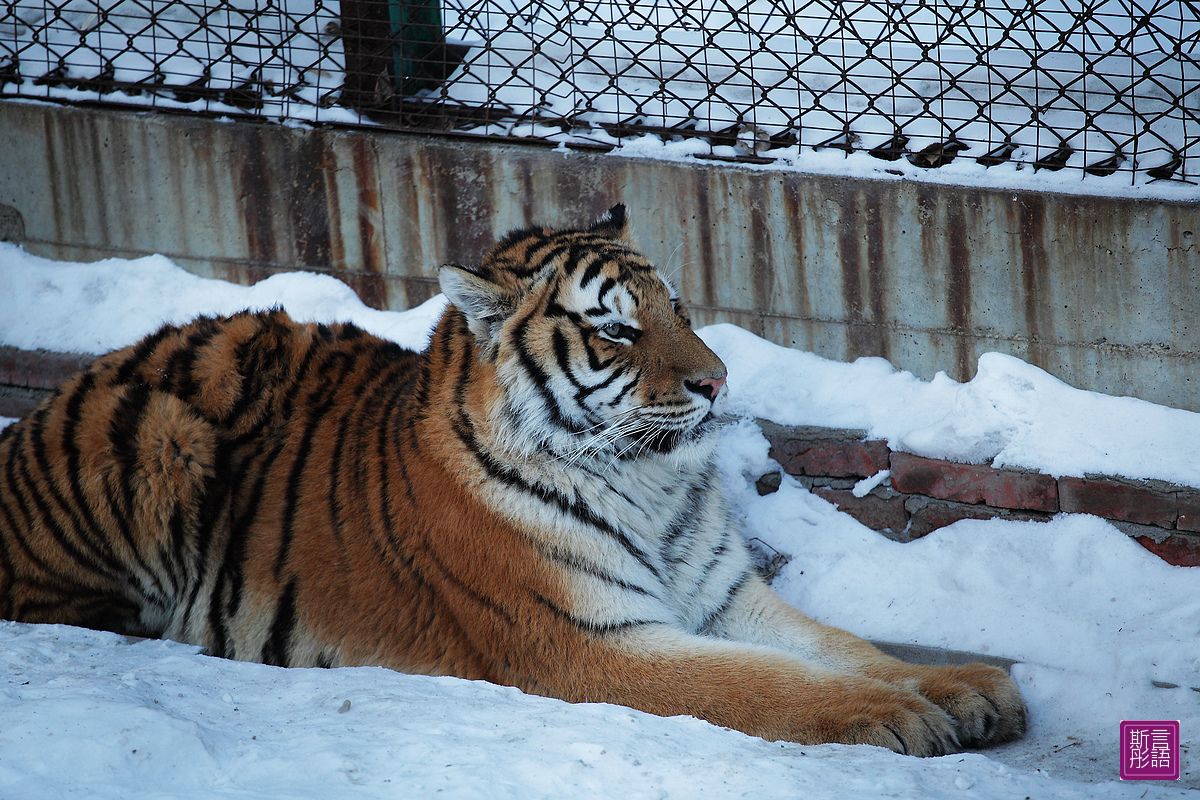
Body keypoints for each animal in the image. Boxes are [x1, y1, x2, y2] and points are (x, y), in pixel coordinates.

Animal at [2, 206, 1022, 758]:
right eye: (617, 330)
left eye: (680, 308)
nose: (718, 381)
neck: (649, 485)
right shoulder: (588, 641)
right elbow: (769, 684)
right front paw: (900, 715)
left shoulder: (727, 596)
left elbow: (843, 646)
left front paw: (969, 688)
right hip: (159, 433)